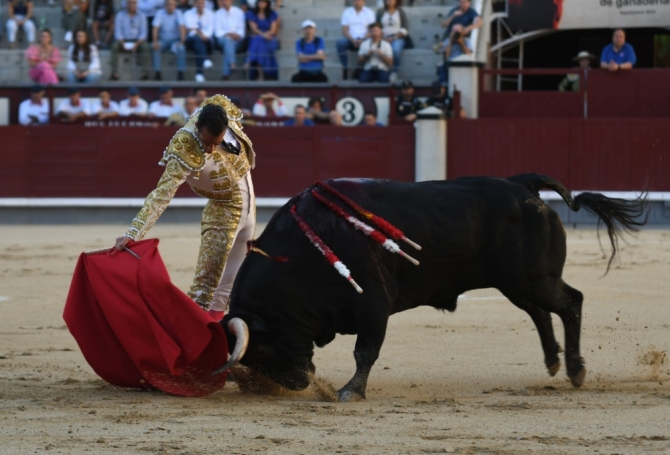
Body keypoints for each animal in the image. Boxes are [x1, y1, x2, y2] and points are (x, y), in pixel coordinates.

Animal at [219, 173, 644, 400]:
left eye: (264, 346)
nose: (298, 383)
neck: (303, 253)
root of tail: (521, 183)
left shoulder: (374, 303)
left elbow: (365, 351)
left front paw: (351, 390)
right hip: (516, 283)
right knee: (541, 311)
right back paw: (554, 361)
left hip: (534, 279)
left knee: (570, 302)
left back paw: (575, 369)